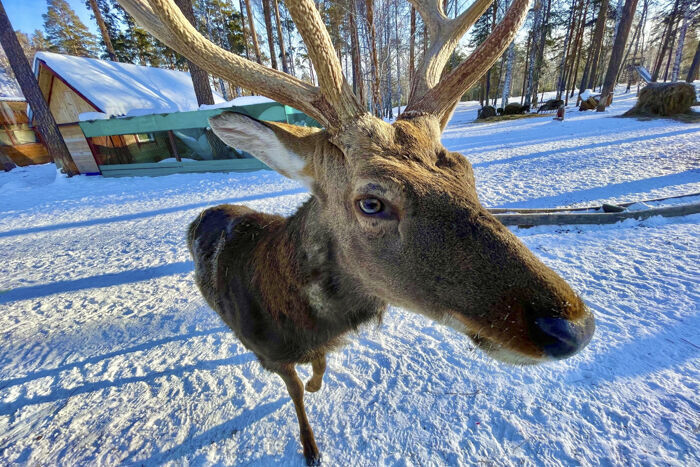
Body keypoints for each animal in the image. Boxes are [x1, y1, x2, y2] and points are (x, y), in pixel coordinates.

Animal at [118, 0, 595, 464]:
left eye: (467, 171)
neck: (305, 322)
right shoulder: (273, 356)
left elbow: (320, 370)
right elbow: (297, 397)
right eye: (371, 202)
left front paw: (317, 386)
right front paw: (311, 448)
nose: (574, 328)